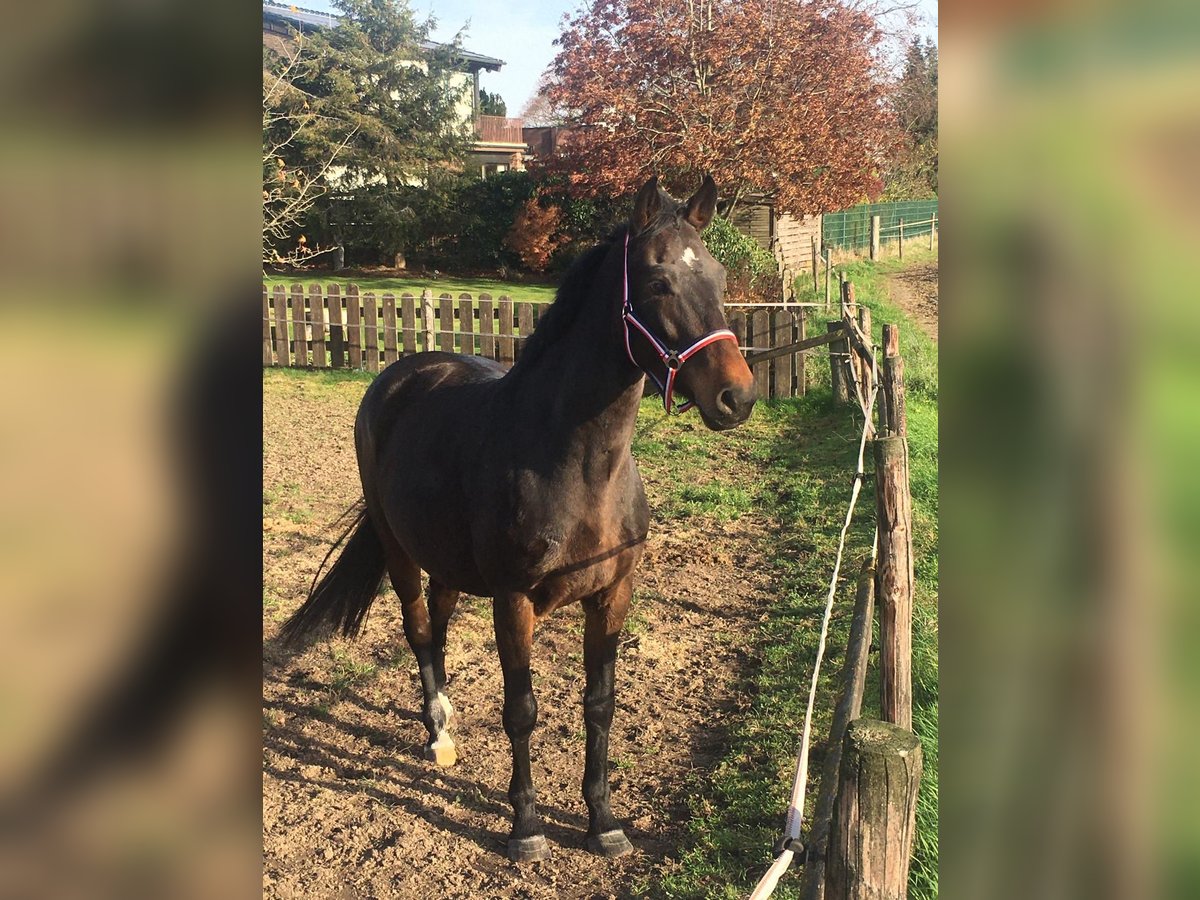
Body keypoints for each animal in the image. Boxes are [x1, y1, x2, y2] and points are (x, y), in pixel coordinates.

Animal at [276, 174, 753, 859]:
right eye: (658, 281)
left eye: (716, 276)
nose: (737, 397)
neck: (575, 465)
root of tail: (398, 375)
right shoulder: (513, 599)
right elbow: (521, 709)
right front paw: (525, 828)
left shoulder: (613, 592)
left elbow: (600, 704)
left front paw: (602, 822)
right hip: (401, 553)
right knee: (418, 629)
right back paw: (438, 735)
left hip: (447, 563)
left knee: (439, 628)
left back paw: (444, 717)